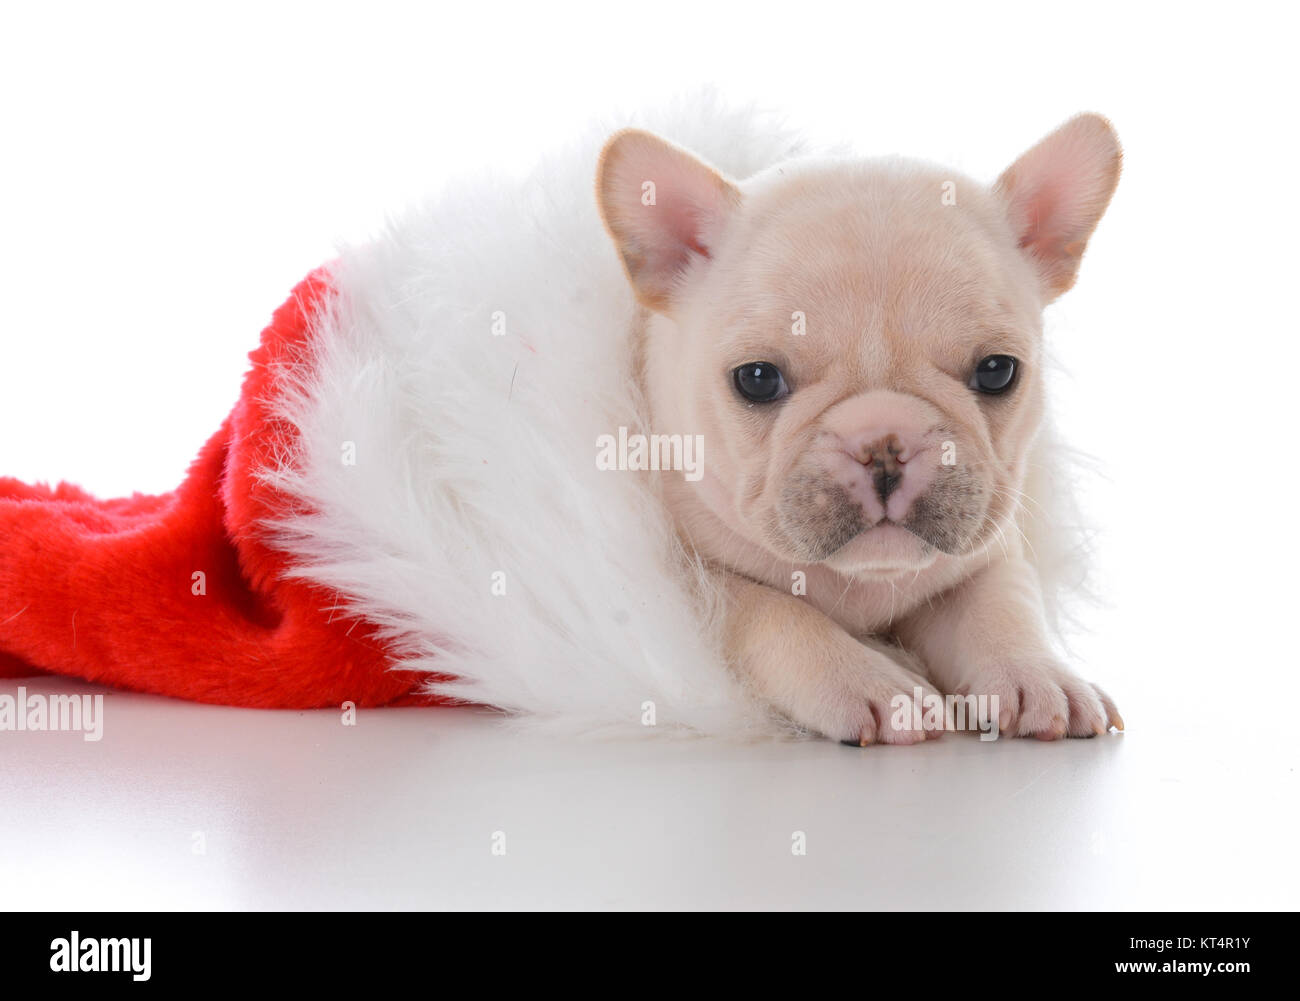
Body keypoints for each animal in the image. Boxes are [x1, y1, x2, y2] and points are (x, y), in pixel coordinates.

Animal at [595, 115, 1123, 738]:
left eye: (998, 371)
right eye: (756, 379)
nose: (884, 445)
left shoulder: (987, 555)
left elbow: (1002, 605)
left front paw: (1038, 676)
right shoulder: (694, 586)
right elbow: (772, 613)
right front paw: (873, 683)